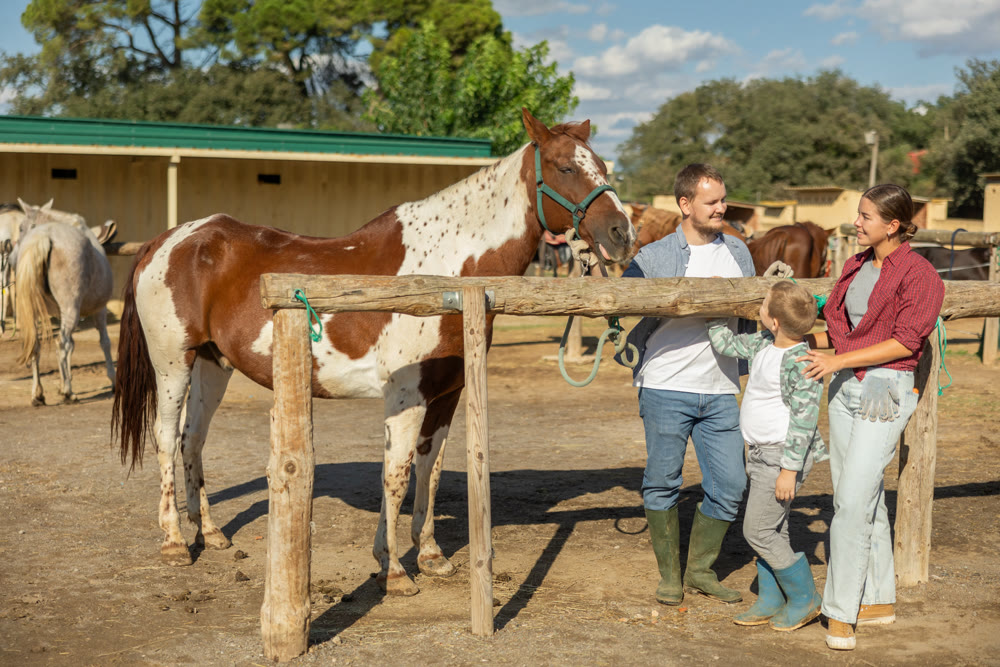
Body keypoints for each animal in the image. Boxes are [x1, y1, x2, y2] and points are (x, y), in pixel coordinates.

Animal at [12, 199, 116, 405]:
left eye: (20, 228)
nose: (10, 258)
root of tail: (45, 236)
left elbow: (74, 346)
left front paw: (62, 383)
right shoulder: (100, 310)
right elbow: (104, 342)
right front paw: (113, 380)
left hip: (36, 313)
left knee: (37, 345)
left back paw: (38, 395)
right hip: (71, 309)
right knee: (62, 343)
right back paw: (69, 393)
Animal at [109, 108, 636, 596]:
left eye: (601, 164)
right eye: (564, 167)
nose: (622, 233)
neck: (444, 275)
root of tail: (168, 240)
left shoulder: (446, 394)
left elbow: (430, 469)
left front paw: (429, 554)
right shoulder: (405, 395)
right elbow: (396, 475)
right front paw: (395, 569)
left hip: (213, 364)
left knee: (192, 439)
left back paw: (212, 534)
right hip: (172, 363)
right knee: (165, 436)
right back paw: (174, 543)